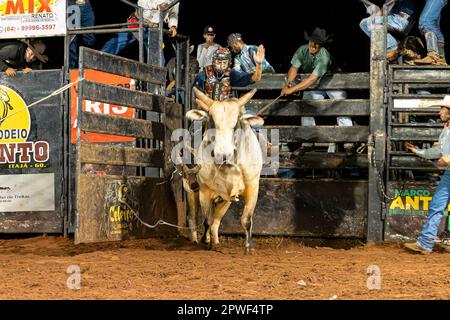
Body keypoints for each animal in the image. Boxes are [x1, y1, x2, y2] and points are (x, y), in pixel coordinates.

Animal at [185, 87, 264, 252]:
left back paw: (215, 241)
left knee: (216, 221)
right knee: (194, 218)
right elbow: (206, 220)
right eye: (211, 120)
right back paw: (198, 240)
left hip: (225, 200)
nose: (223, 155)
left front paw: (249, 247)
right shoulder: (204, 191)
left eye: (236, 123)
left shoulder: (253, 187)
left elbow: (246, 219)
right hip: (191, 190)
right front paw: (206, 242)